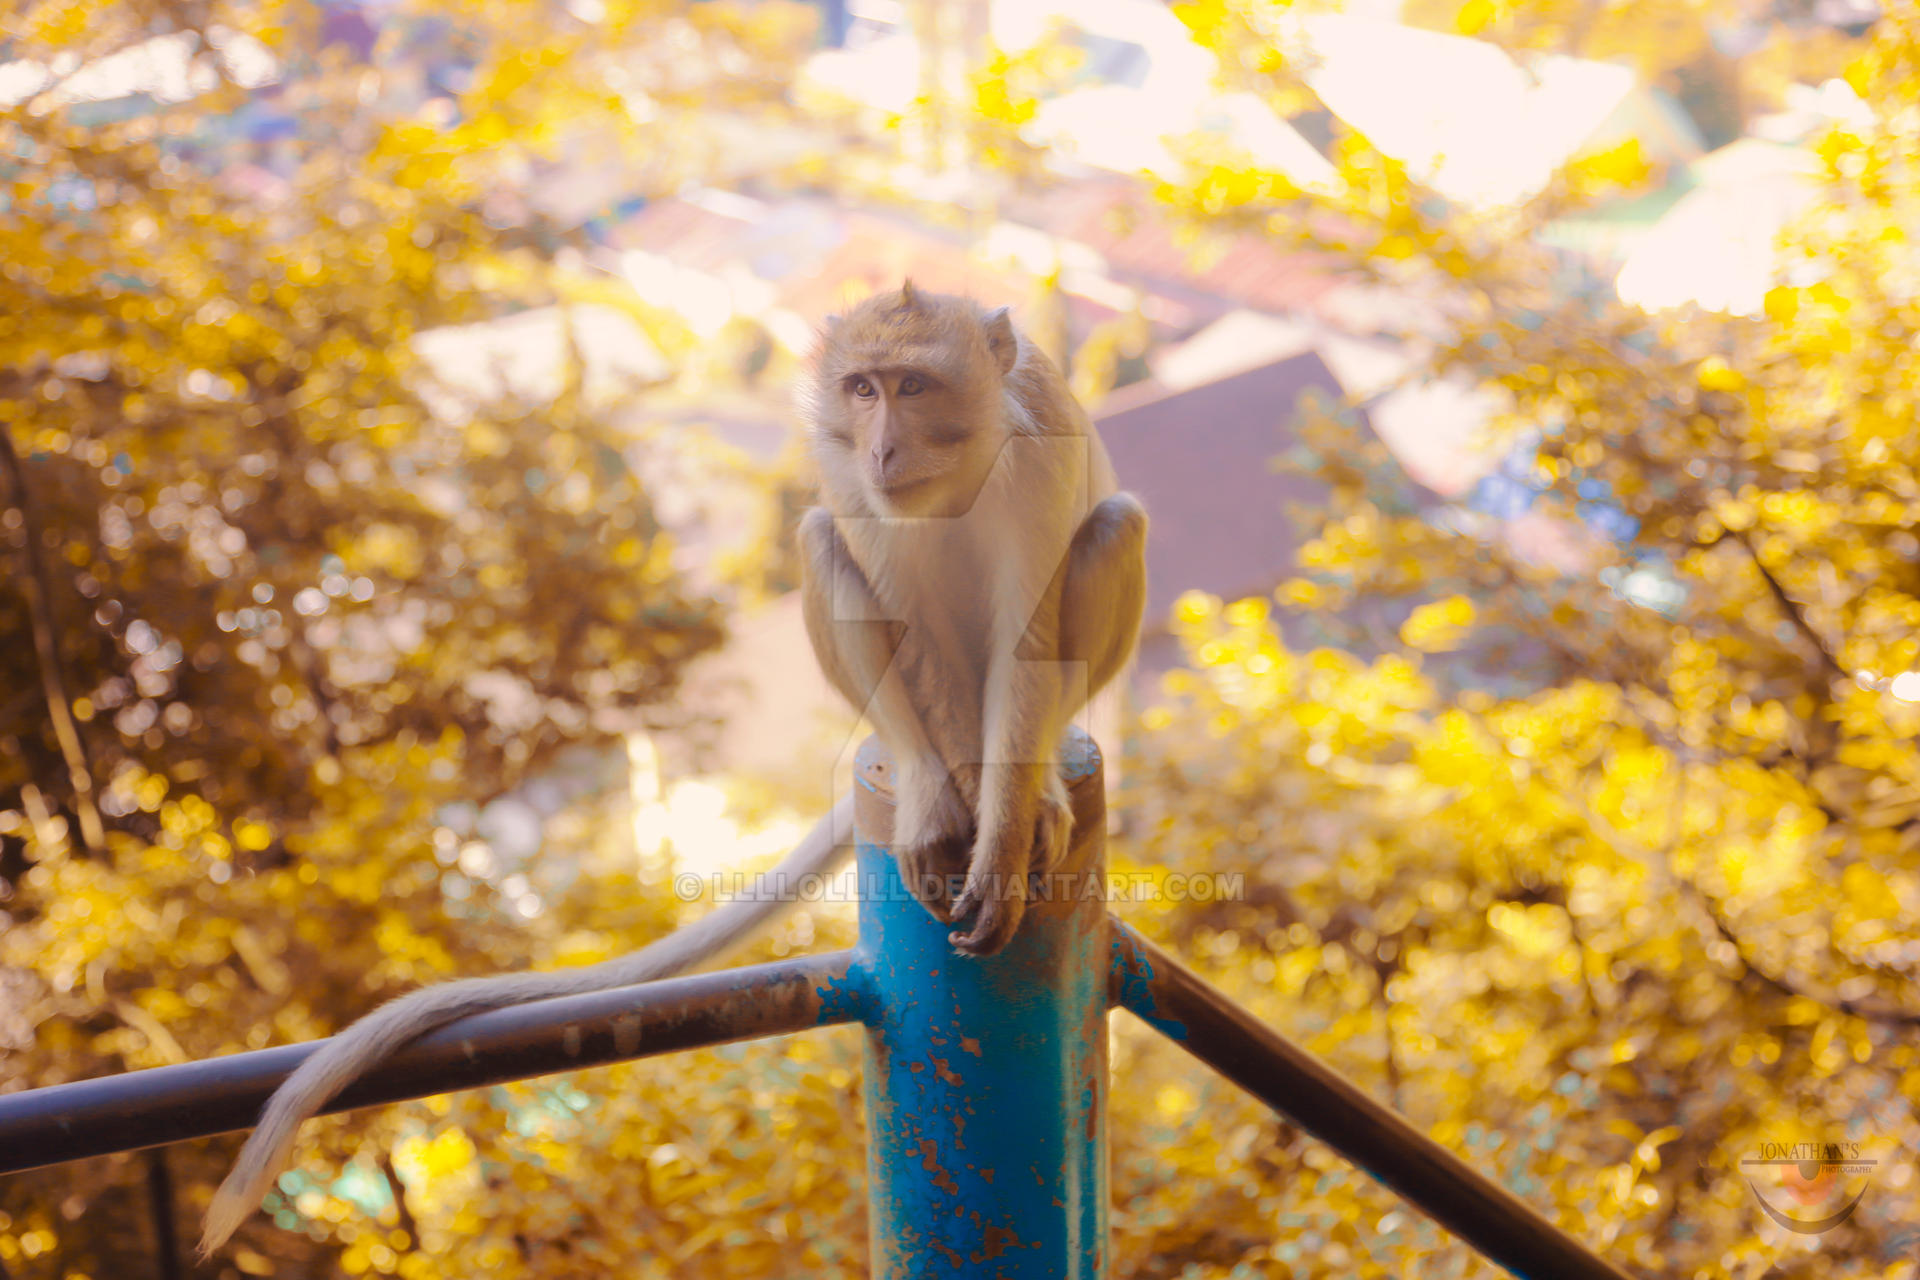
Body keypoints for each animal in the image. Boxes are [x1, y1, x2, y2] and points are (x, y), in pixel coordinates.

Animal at [198, 282, 1145, 1255]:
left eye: (913, 385)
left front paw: (1003, 838)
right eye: (863, 389)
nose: (882, 445)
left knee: (1113, 529)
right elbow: (889, 598)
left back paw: (1041, 781)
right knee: (822, 539)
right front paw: (941, 805)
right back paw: (923, 777)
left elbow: (1028, 642)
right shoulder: (842, 468)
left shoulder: (1036, 463)